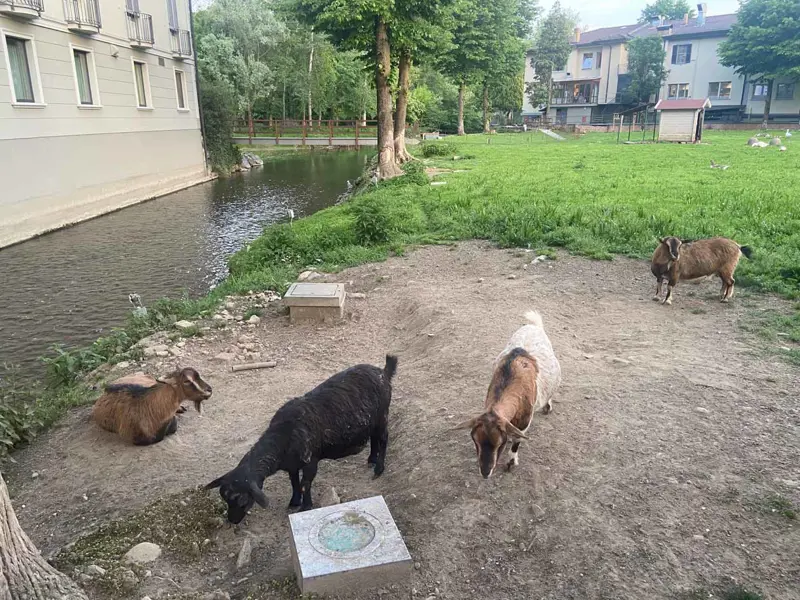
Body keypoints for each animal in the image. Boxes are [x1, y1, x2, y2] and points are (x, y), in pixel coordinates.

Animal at [203, 354, 396, 524]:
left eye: (242, 500)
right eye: (225, 498)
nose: (232, 521)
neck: (283, 438)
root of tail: (383, 371)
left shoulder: (311, 460)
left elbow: (305, 483)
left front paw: (305, 506)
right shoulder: (292, 465)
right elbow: (294, 482)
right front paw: (294, 502)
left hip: (382, 415)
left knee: (383, 439)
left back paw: (378, 468)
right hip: (371, 420)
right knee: (374, 438)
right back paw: (371, 459)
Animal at [456, 314, 564, 478]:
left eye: (499, 443)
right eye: (475, 440)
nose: (485, 472)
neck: (510, 373)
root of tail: (534, 326)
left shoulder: (525, 421)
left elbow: (517, 439)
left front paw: (510, 462)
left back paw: (547, 406)